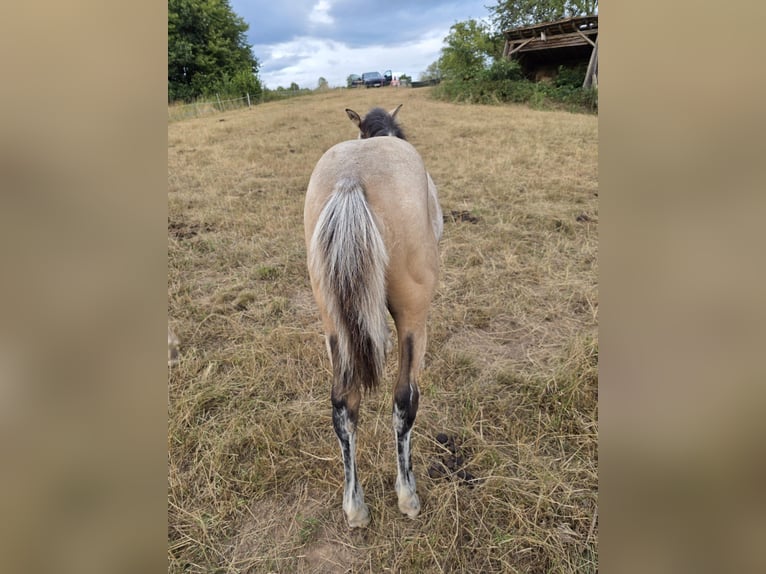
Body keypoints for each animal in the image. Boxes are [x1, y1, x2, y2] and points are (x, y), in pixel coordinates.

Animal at [304, 105, 443, 528]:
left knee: (343, 404)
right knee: (405, 399)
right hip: (413, 316)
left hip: (333, 324)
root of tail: (351, 177)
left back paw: (355, 507)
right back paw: (407, 495)